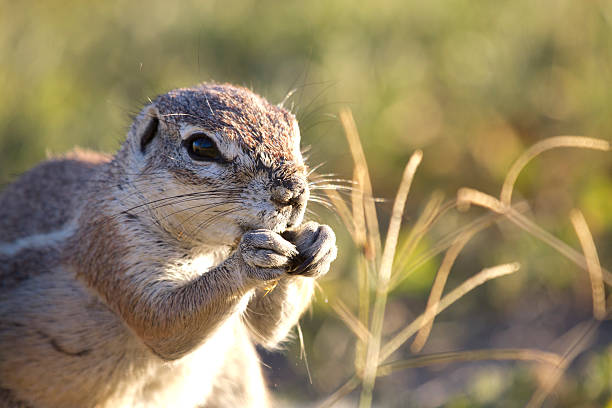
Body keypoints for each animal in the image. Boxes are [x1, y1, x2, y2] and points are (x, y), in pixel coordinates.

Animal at [0, 83, 334, 408]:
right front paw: (250, 260)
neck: (209, 250)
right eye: (201, 146)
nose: (294, 193)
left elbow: (268, 328)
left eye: (294, 131)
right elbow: (161, 323)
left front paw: (319, 239)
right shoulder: (114, 245)